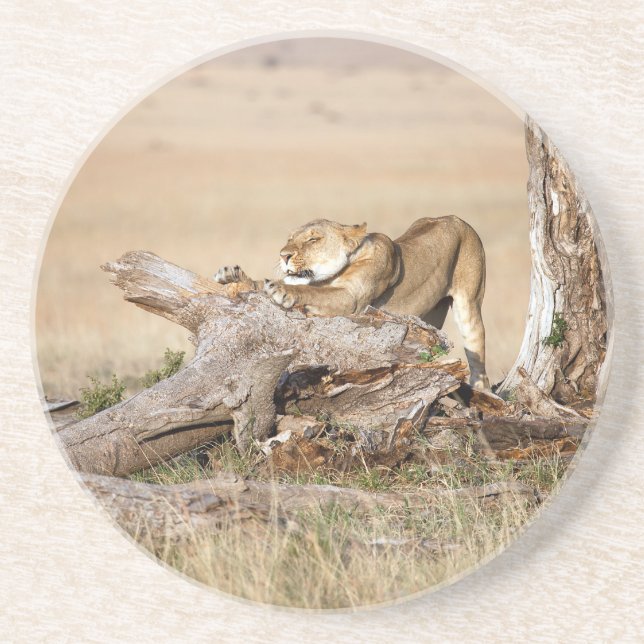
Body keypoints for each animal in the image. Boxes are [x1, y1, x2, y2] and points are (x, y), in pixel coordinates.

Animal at [214, 216, 489, 389]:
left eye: (313, 240)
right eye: (290, 238)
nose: (283, 255)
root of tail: (455, 218)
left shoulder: (351, 299)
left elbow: (310, 292)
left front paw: (282, 290)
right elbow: (260, 283)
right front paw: (232, 275)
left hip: (469, 306)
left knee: (479, 364)